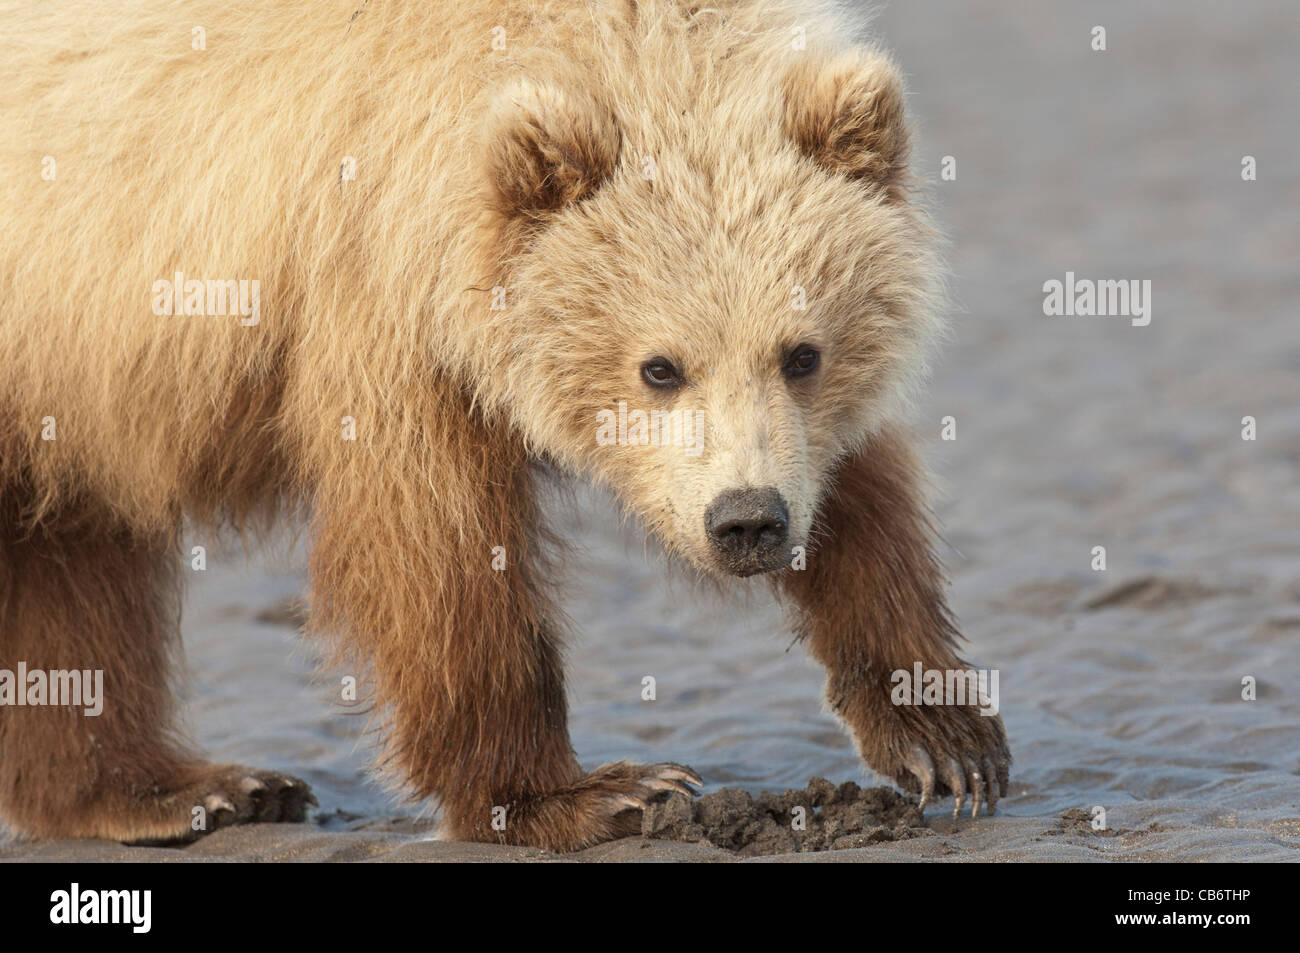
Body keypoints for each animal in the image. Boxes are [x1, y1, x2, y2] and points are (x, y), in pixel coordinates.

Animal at [0, 0, 1010, 851]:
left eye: (803, 353)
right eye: (659, 365)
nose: (747, 520)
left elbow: (862, 491)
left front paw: (944, 733)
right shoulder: (375, 286)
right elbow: (437, 551)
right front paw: (592, 791)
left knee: (73, 564)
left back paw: (176, 788)